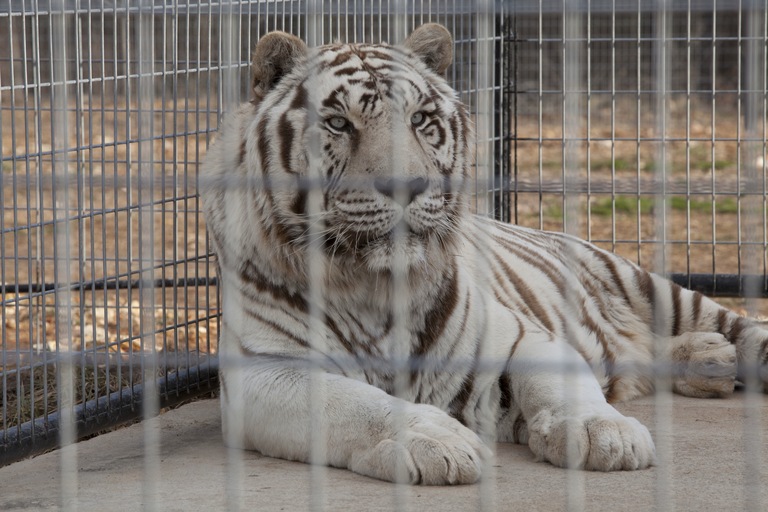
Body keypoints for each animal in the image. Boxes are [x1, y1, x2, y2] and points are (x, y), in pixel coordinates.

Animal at [201, 23, 768, 484]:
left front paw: (604, 432)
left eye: (421, 119)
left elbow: (561, 386)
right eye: (338, 124)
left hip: (643, 282)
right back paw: (708, 360)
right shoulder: (264, 371)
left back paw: (718, 353)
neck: (372, 285)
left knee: (737, 328)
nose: (408, 185)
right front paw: (437, 441)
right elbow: (353, 404)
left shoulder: (519, 333)